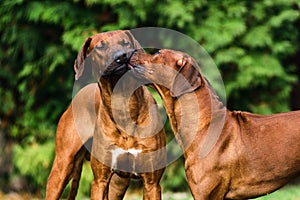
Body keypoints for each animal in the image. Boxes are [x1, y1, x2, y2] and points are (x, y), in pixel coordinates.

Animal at [45, 30, 166, 199]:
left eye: (125, 43)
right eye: (100, 47)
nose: (121, 57)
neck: (121, 100)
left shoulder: (152, 183)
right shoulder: (99, 181)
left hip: (118, 184)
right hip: (62, 166)